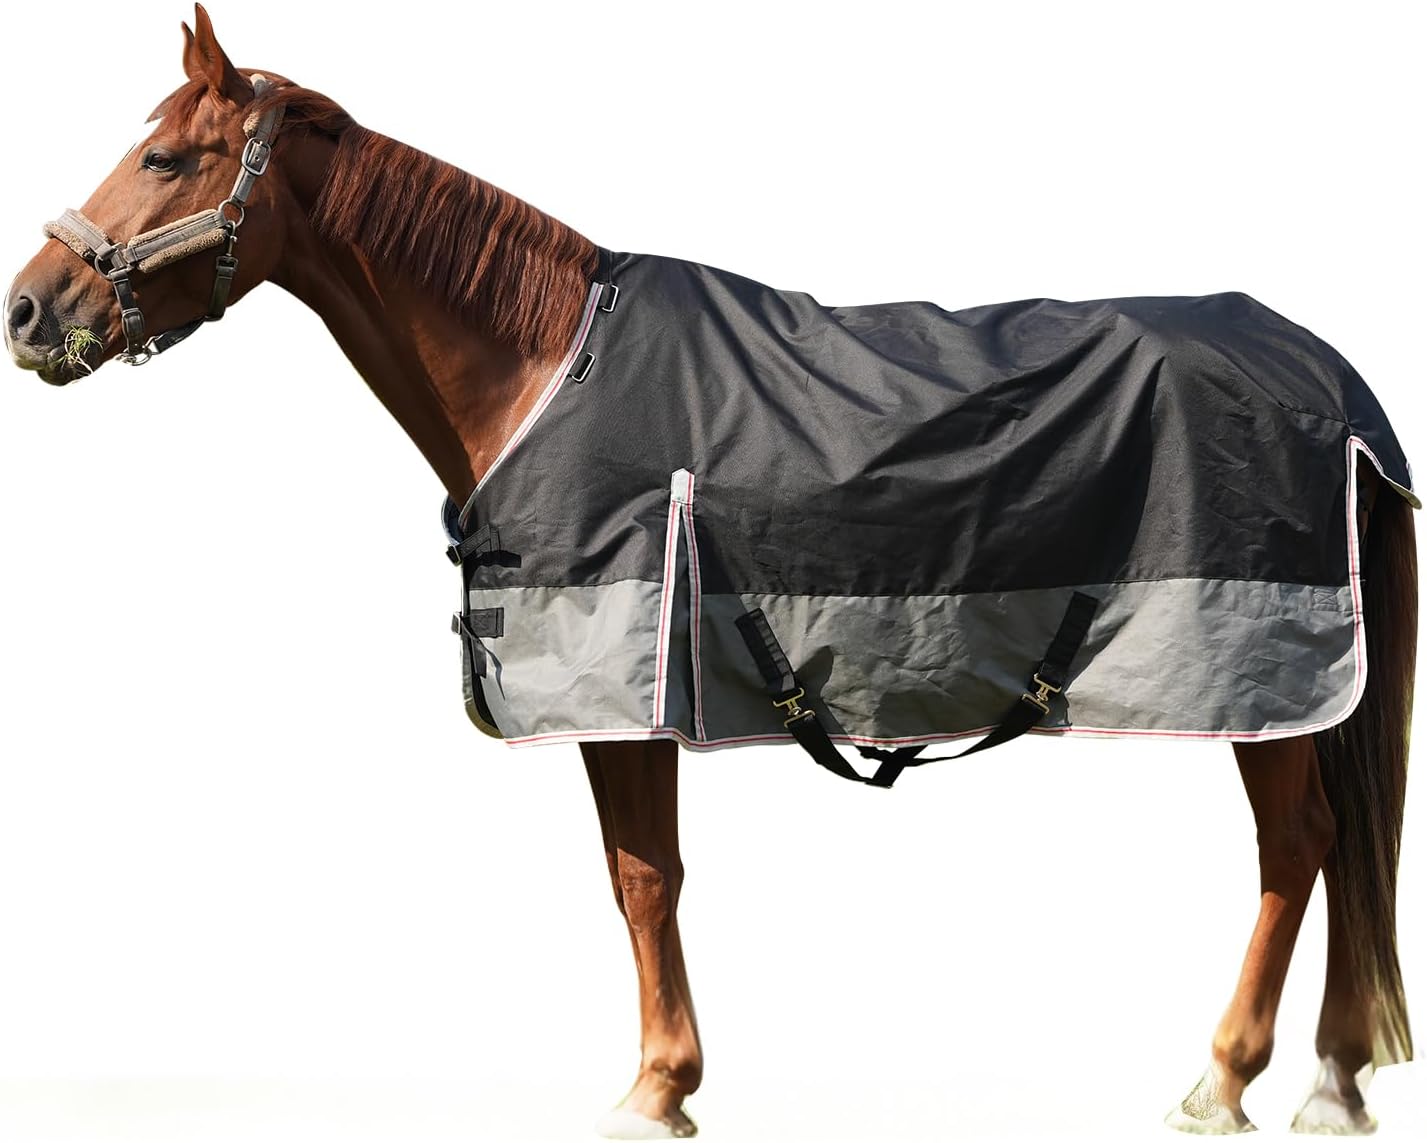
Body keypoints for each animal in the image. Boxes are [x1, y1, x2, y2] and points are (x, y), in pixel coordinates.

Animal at [4, 7, 1417, 1137]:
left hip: (1262, 685)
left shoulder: (621, 687)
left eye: (164, 159)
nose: (28, 310)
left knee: (1297, 843)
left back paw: (1225, 1083)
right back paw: (1332, 1083)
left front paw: (654, 1091)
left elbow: (643, 882)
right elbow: (645, 880)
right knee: (1331, 848)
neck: (544, 366)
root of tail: (1325, 373)